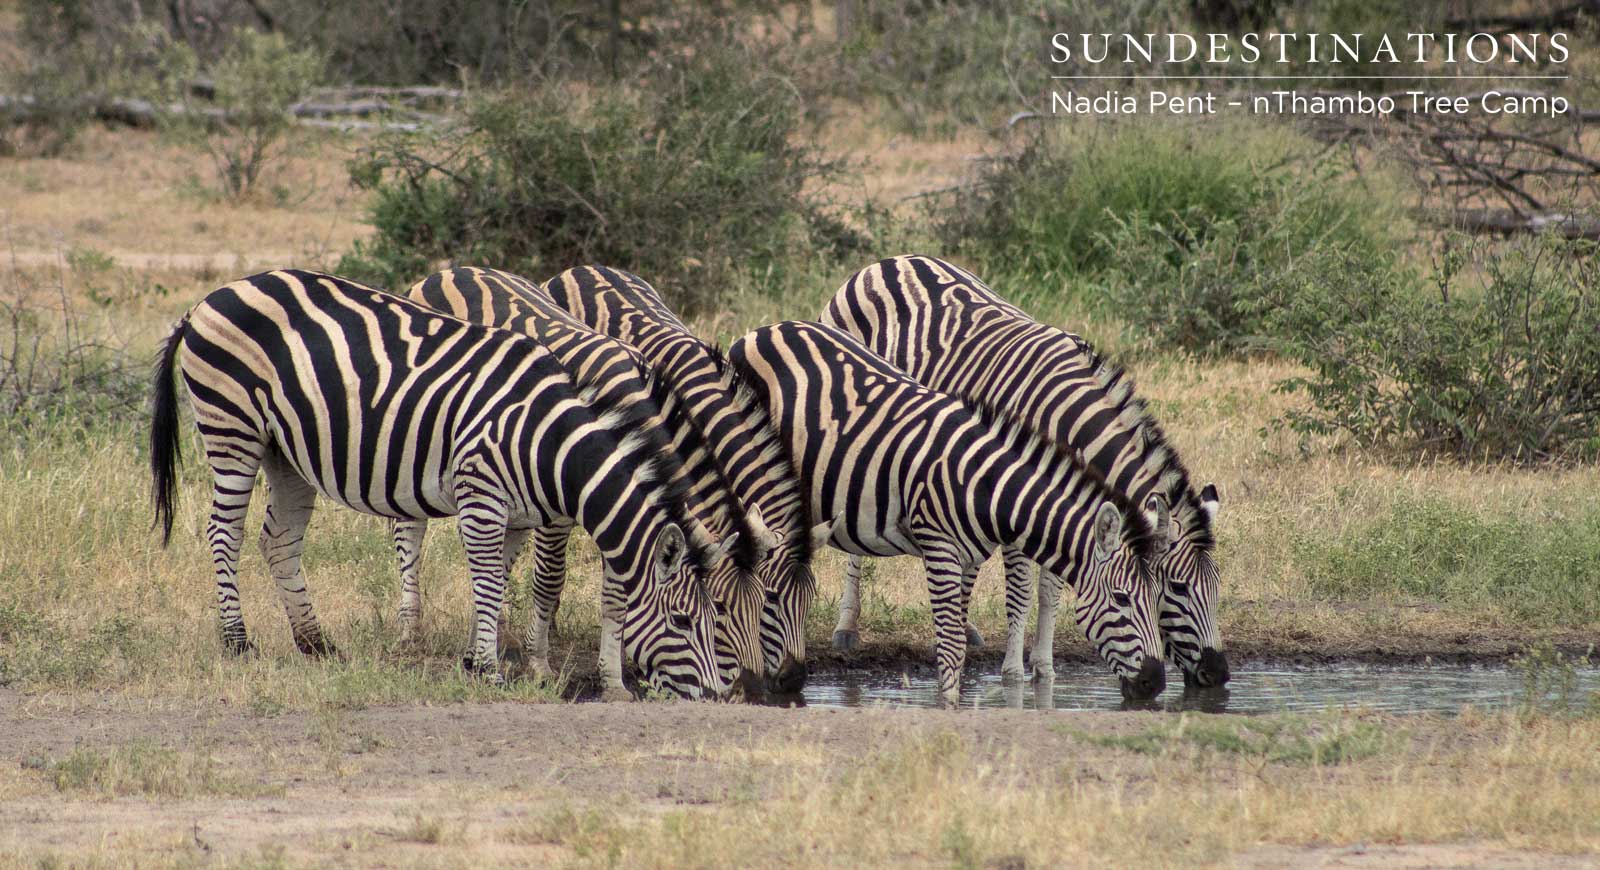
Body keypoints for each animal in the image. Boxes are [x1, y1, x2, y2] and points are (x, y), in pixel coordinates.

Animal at [148, 269, 726, 699]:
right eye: (681, 621)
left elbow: (496, 582)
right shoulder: (481, 494)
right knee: (225, 534)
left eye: (714, 619)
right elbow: (489, 582)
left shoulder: (516, 513)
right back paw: (237, 641)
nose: (719, 694)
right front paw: (489, 671)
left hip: (285, 451)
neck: (545, 440)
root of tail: (211, 297)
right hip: (232, 428)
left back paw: (315, 643)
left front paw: (475, 658)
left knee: (279, 541)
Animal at [393, 266, 771, 700]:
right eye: (721, 610)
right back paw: (409, 631)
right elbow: (549, 579)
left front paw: (613, 681)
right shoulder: (562, 506)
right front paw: (539, 665)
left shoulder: (622, 506)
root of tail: (452, 270)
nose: (747, 691)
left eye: (765, 604)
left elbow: (616, 597)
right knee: (410, 528)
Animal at [727, 319, 1168, 703]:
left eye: (1159, 596)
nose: (1157, 683)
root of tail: (760, 331)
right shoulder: (939, 547)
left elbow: (959, 636)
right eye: (1122, 599)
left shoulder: (970, 554)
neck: (986, 486)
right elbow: (952, 643)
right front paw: (949, 706)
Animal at [822, 255, 1229, 688]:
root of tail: (889, 261)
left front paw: (1044, 668)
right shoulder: (1019, 502)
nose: (1218, 673)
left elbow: (1051, 589)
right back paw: (847, 627)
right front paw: (1014, 673)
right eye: (1178, 588)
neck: (1069, 421)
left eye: (1217, 587)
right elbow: (1020, 591)